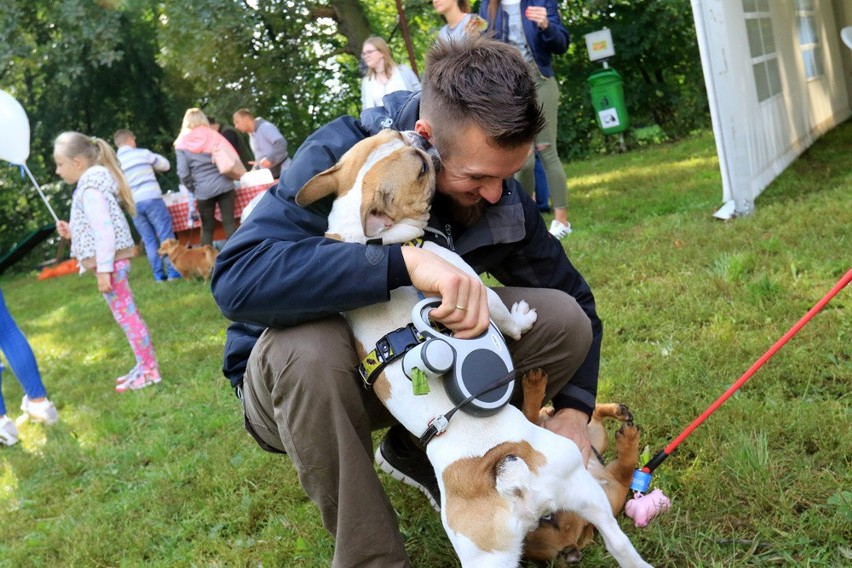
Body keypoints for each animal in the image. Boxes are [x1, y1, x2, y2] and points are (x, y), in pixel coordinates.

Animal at [520, 370, 640, 564]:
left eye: (547, 515)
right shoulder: (618, 481)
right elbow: (628, 467)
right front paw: (630, 439)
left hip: (595, 436)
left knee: (593, 413)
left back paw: (618, 411)